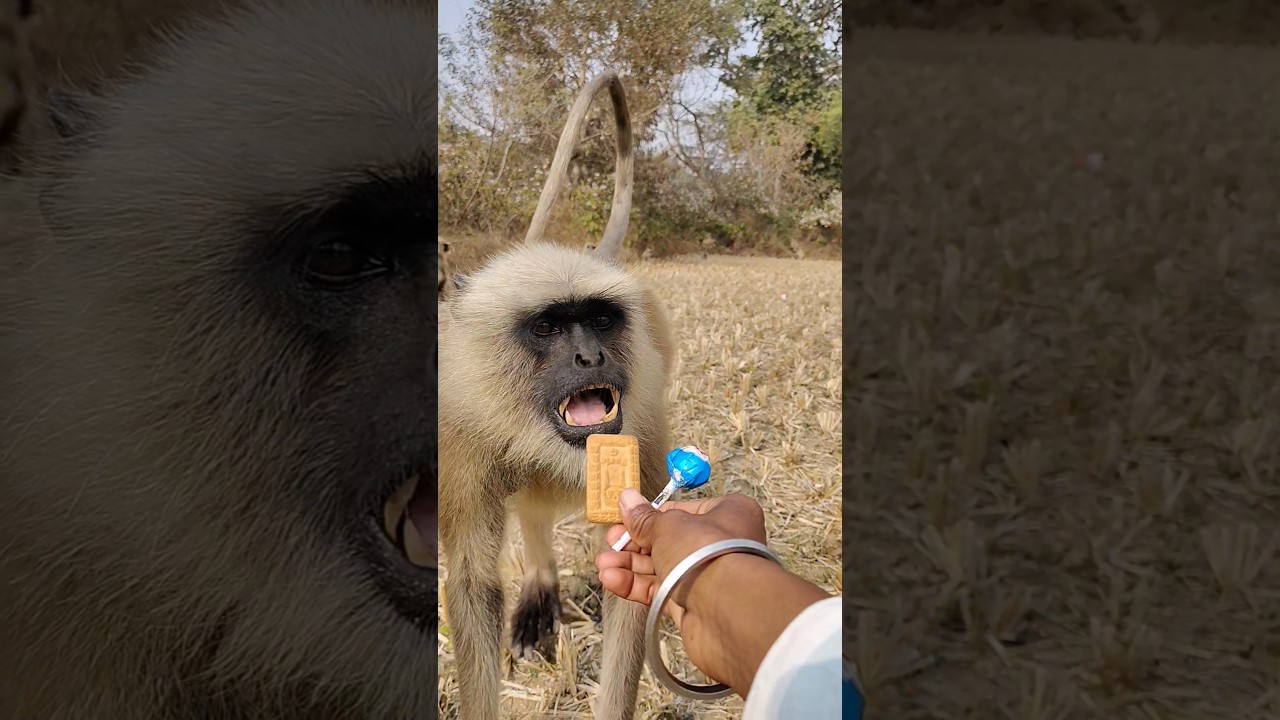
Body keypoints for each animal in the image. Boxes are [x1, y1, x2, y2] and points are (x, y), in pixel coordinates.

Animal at [438, 70, 676, 719]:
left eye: (598, 319)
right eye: (547, 327)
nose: (590, 357)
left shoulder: (641, 429)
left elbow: (634, 574)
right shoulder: (461, 433)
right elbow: (472, 581)